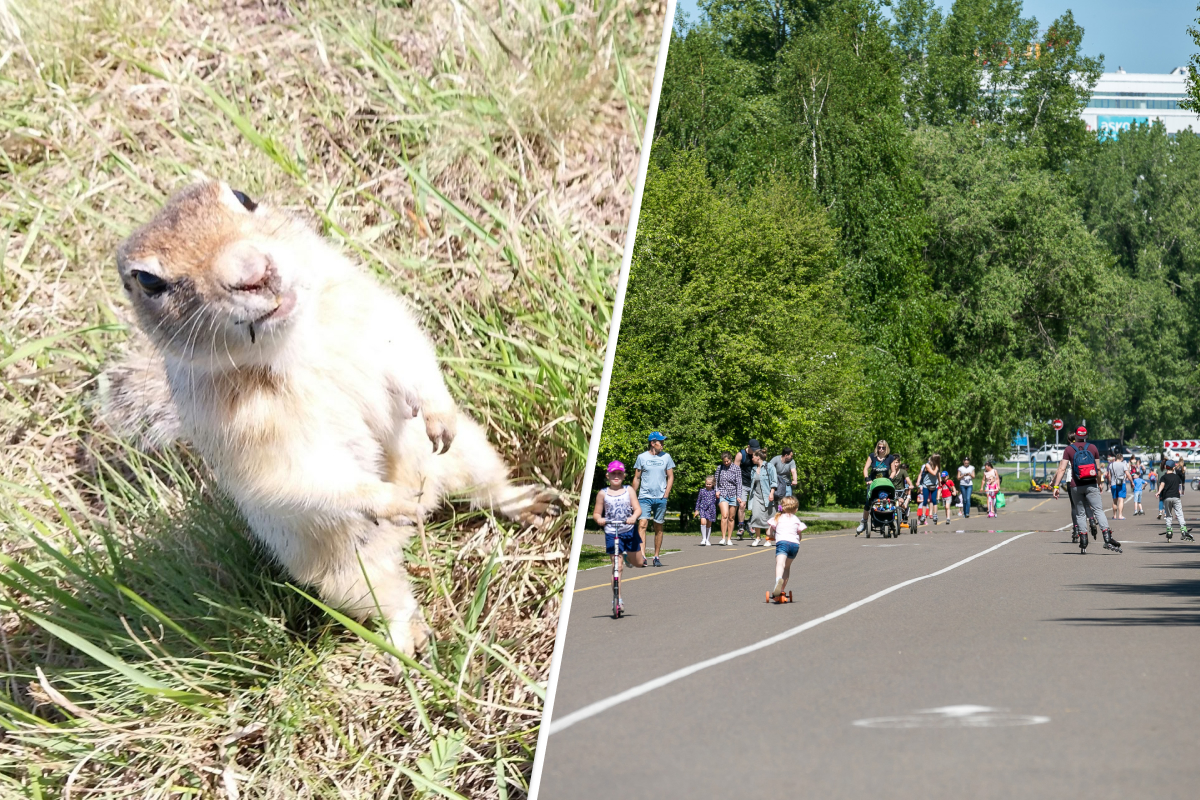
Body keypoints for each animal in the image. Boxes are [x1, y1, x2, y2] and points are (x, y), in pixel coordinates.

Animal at [108, 183, 556, 657]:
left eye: (244, 197)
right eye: (148, 281)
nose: (254, 271)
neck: (293, 344)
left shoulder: (375, 316)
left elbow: (414, 360)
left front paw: (438, 416)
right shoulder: (248, 438)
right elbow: (304, 476)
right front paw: (392, 500)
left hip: (472, 452)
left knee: (487, 489)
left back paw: (527, 503)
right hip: (350, 574)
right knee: (391, 600)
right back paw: (410, 637)